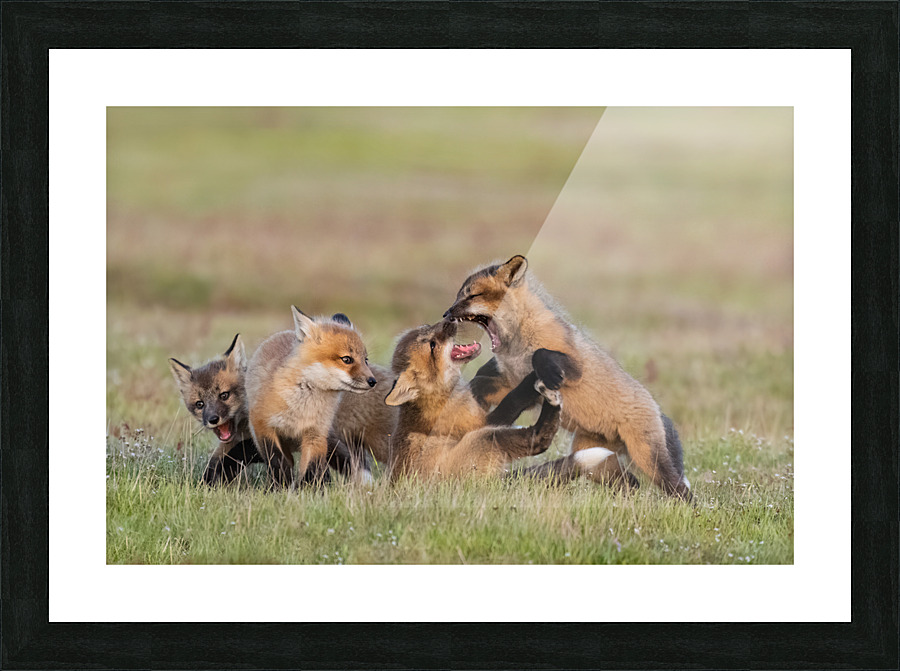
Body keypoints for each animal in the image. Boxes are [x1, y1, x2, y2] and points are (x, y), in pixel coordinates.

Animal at [169, 333, 263, 485]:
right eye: (200, 404)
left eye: (224, 395)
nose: (213, 419)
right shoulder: (228, 443)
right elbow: (213, 464)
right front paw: (206, 486)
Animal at [245, 308, 387, 487]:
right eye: (347, 359)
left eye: (365, 360)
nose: (372, 381)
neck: (302, 406)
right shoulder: (263, 427)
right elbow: (277, 462)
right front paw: (281, 487)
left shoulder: (316, 433)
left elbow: (312, 468)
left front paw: (309, 490)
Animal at [383, 320, 616, 482]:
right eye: (432, 345)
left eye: (428, 328)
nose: (449, 318)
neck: (441, 398)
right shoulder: (478, 424)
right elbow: (512, 400)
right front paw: (535, 373)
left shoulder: (481, 411)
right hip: (484, 438)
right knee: (537, 440)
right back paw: (551, 401)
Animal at [443, 255, 691, 500]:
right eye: (459, 294)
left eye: (472, 295)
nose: (446, 314)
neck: (516, 348)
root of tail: (657, 409)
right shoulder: (510, 381)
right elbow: (482, 384)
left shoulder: (574, 367)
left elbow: (541, 354)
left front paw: (550, 374)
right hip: (596, 463)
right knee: (631, 483)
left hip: (649, 461)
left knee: (681, 490)